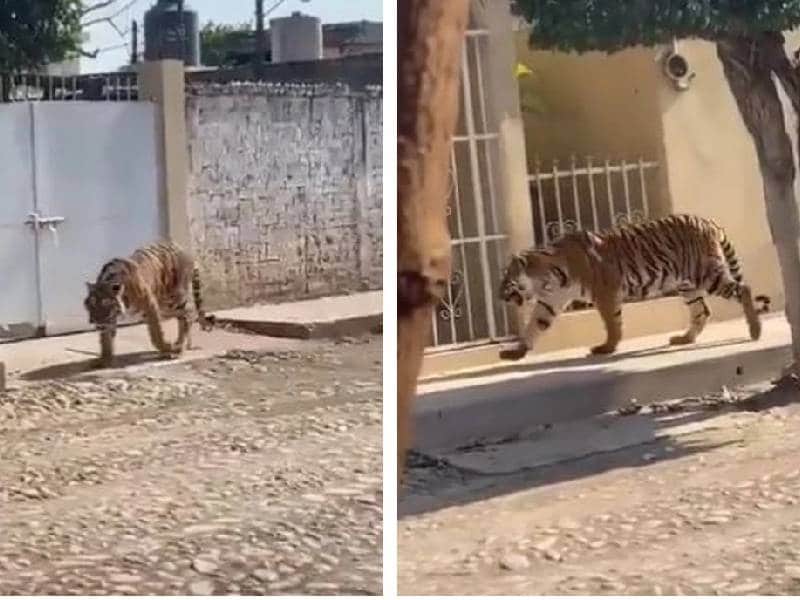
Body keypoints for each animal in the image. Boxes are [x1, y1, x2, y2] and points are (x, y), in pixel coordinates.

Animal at [83, 241, 214, 368]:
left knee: (189, 313)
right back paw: (185, 345)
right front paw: (104, 360)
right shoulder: (109, 320)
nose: (94, 321)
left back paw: (178, 348)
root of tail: (186, 251)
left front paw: (167, 349)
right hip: (166, 308)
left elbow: (156, 333)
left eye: (105, 302)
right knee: (185, 316)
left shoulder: (150, 307)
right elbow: (106, 340)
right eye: (92, 302)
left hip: (173, 300)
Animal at [500, 213, 768, 358]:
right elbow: (534, 326)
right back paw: (684, 339)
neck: (546, 279)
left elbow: (612, 324)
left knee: (743, 289)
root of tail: (708, 221)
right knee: (702, 311)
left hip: (708, 275)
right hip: (688, 285)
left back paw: (755, 331)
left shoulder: (605, 294)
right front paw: (515, 352)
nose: (499, 297)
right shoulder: (550, 301)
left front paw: (607, 348)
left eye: (505, 280)